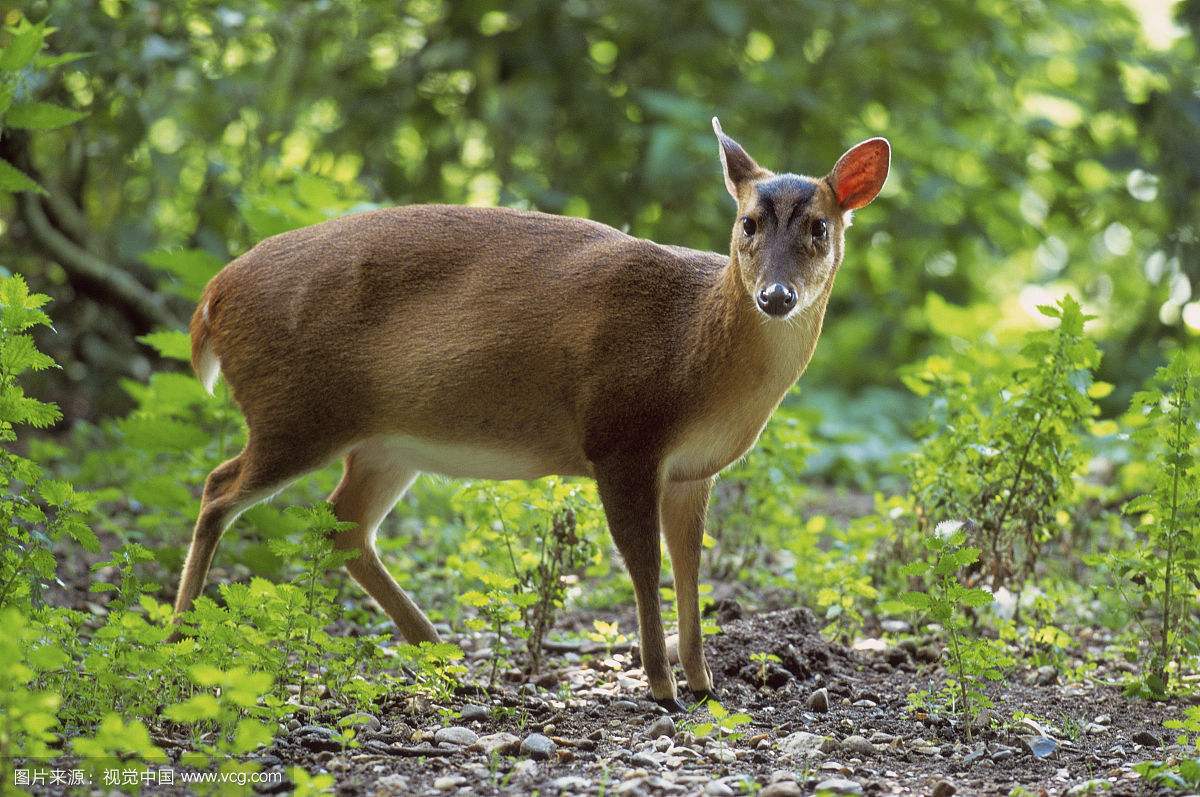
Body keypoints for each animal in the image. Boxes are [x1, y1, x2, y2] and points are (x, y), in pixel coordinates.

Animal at [177, 118, 892, 710]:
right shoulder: (620, 437)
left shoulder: (694, 469)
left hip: (384, 444)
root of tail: (211, 298)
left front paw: (703, 680)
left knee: (343, 528)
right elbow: (645, 564)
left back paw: (446, 662)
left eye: (819, 227)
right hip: (295, 411)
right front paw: (662, 688)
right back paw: (182, 638)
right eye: (747, 223)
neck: (694, 346)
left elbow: (692, 567)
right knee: (218, 487)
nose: (776, 295)